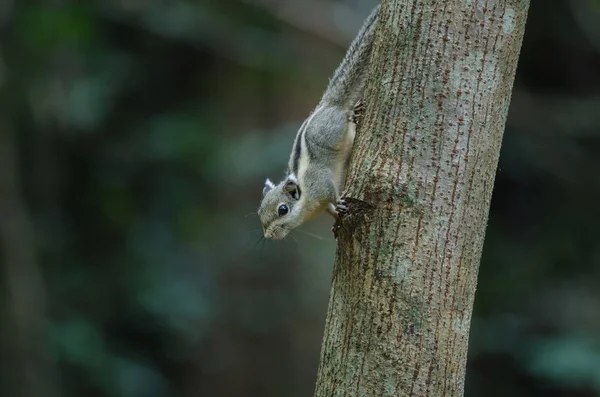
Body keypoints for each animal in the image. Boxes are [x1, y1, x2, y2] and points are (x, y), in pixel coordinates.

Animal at [258, 5, 380, 238]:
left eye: (282, 209)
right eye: (260, 212)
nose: (269, 236)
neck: (307, 201)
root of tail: (326, 104)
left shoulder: (321, 184)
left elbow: (332, 194)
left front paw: (339, 202)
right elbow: (330, 210)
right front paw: (335, 220)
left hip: (333, 127)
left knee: (344, 116)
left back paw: (353, 113)